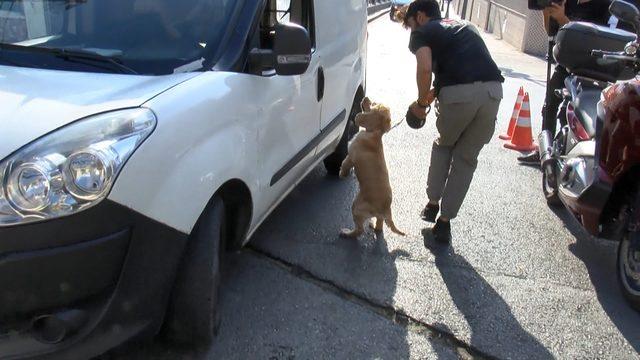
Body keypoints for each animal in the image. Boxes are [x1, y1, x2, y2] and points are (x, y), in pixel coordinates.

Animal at [340, 98, 404, 239]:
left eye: (373, 104)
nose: (365, 98)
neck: (374, 134)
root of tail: (386, 209)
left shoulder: (351, 156)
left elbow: (345, 163)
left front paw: (342, 173)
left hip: (356, 207)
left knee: (359, 230)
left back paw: (346, 233)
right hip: (376, 215)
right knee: (380, 225)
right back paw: (373, 225)